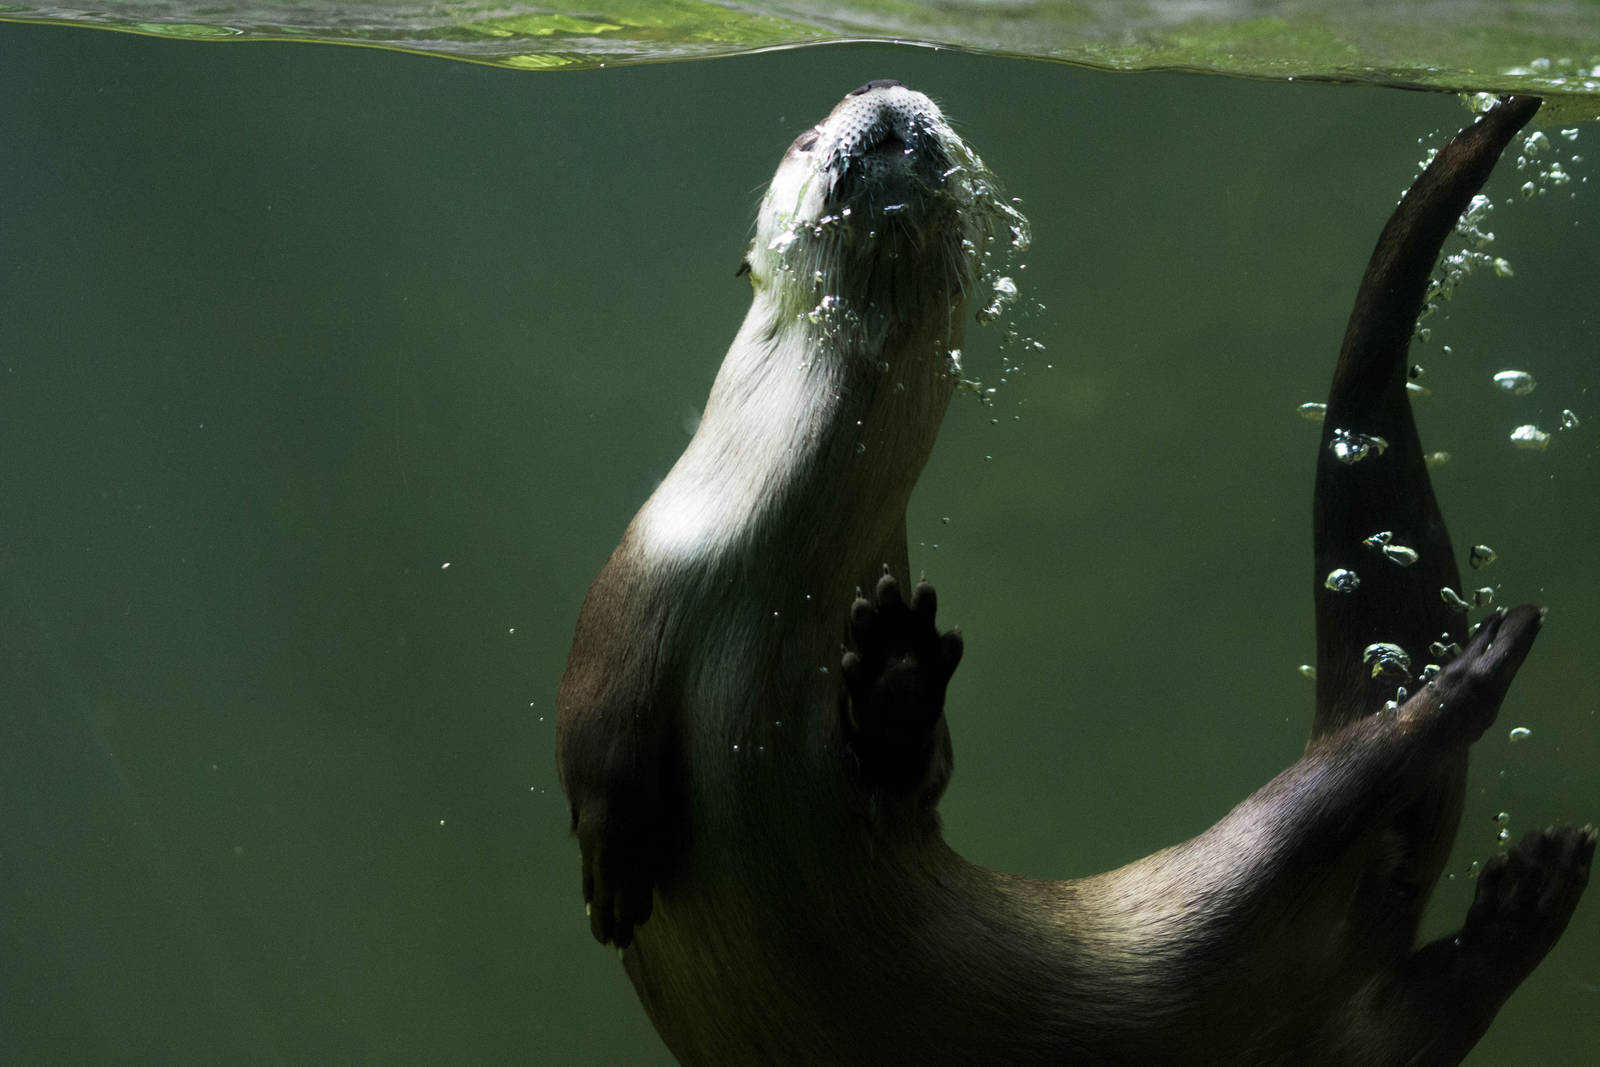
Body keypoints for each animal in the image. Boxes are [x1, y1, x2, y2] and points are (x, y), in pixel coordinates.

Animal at [556, 82, 1592, 1064]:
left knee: (1364, 786)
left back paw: (1489, 694)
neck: (778, 567)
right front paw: (613, 872)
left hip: (1248, 865)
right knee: (1427, 1006)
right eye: (805, 140)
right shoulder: (631, 586)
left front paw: (898, 674)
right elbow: (589, 729)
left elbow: (919, 776)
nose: (875, 87)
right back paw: (1528, 887)